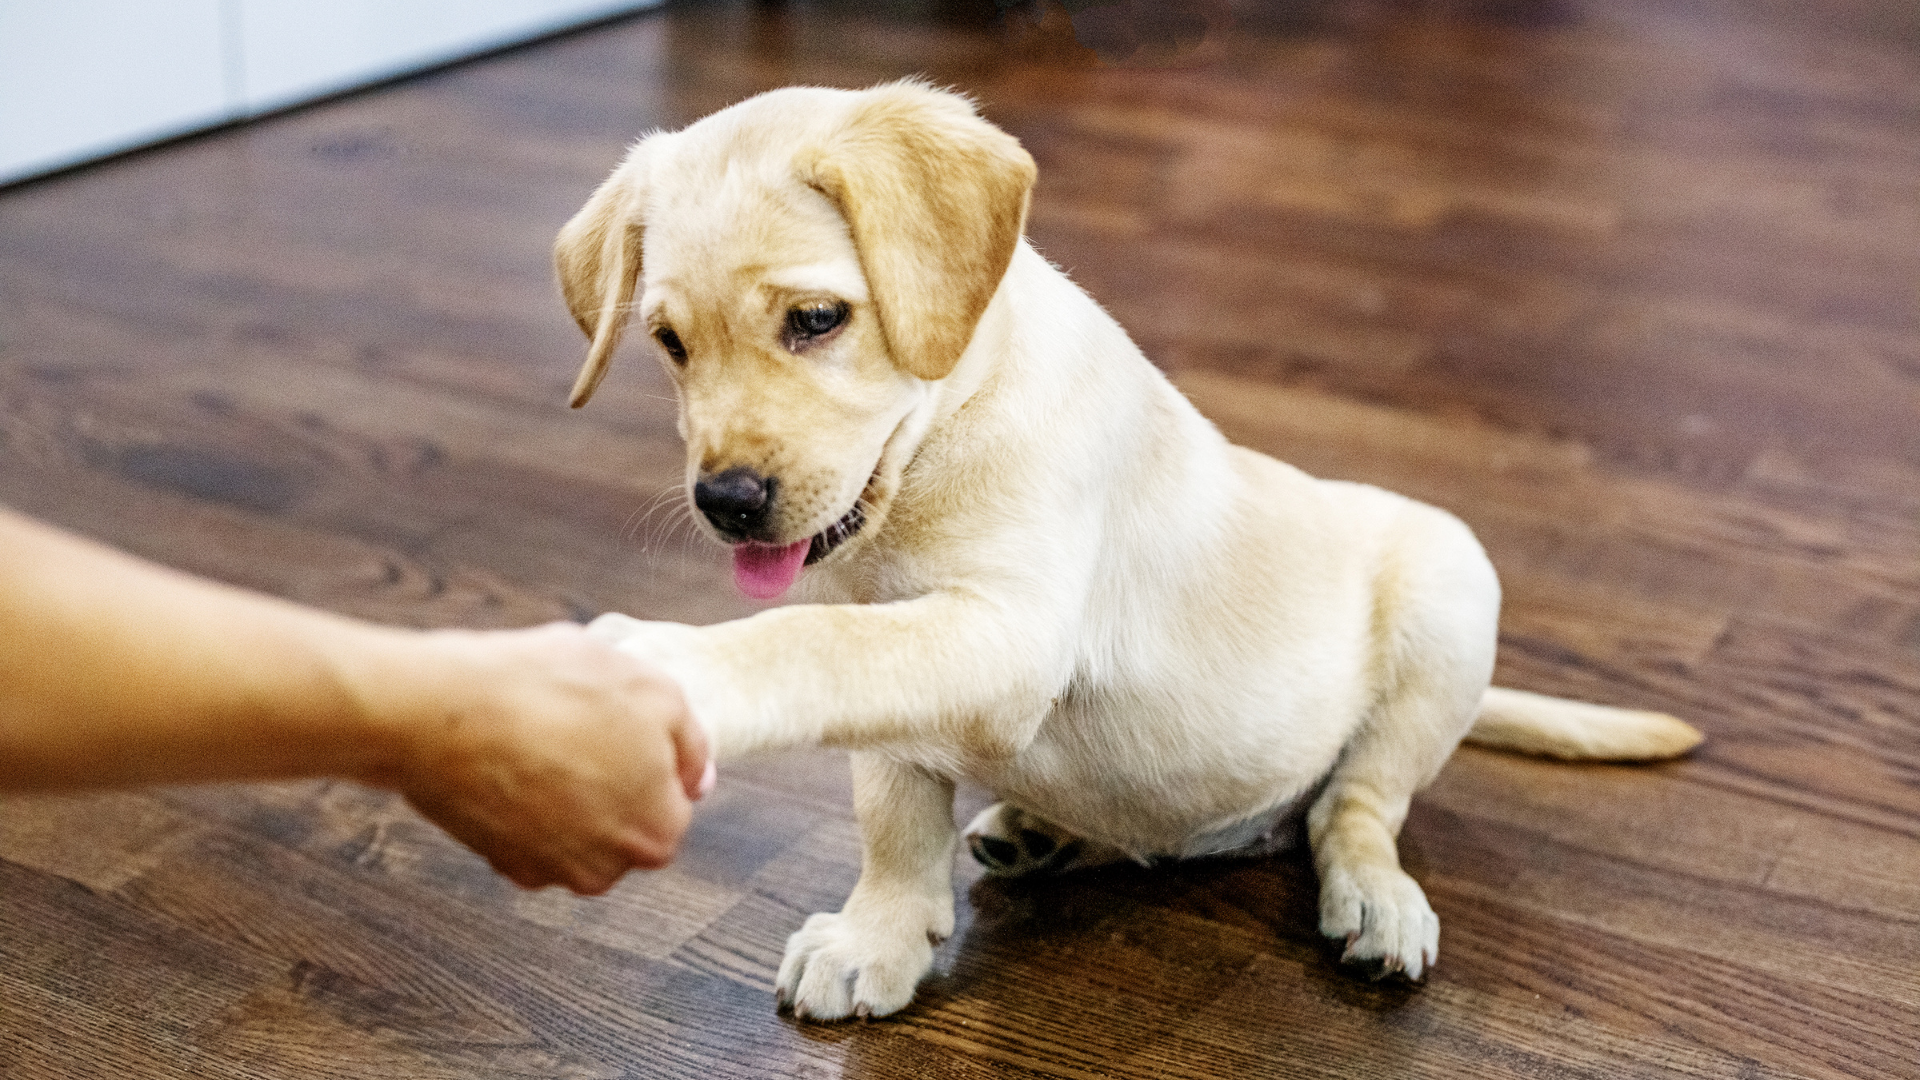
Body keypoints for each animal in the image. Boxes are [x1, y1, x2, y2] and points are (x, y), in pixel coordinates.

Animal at [552, 82, 1697, 1014]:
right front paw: (880, 934)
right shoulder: (896, 651)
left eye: (818, 319)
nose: (727, 502)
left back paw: (1377, 901)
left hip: (1449, 587)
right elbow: (889, 795)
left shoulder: (1009, 633)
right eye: (668, 344)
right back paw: (1045, 831)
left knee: (1354, 805)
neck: (946, 435)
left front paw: (670, 666)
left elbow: (810, 649)